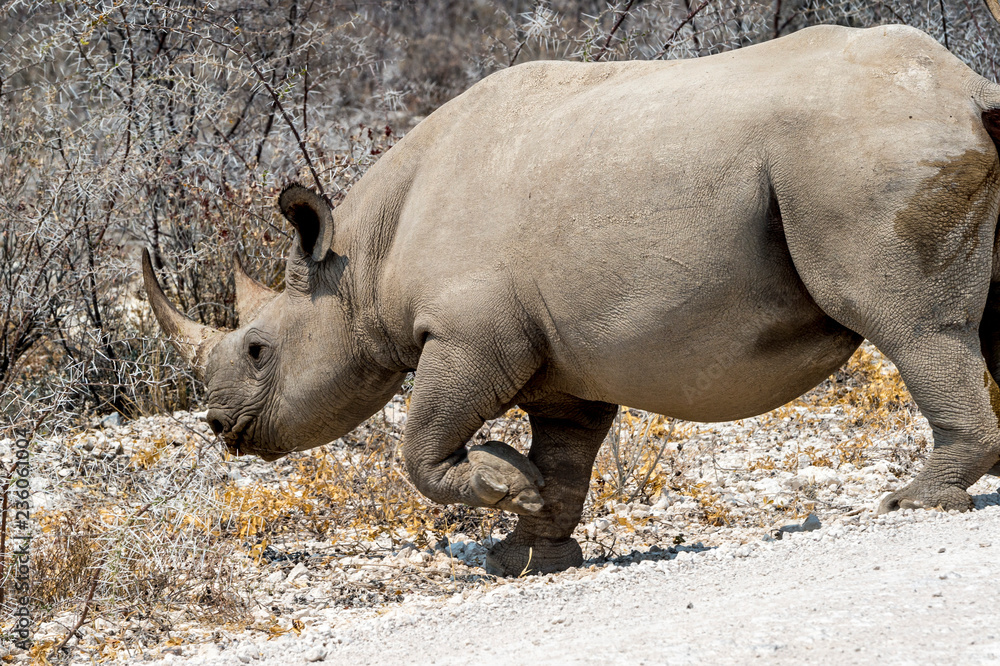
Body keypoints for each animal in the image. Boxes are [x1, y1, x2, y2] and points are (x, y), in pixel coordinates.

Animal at [144, 15, 1000, 576]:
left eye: (259, 350)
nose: (217, 425)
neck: (357, 269)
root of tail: (967, 86)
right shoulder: (560, 366)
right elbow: (562, 458)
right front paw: (525, 550)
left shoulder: (468, 334)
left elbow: (419, 445)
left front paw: (500, 486)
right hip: (897, 140)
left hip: (867, 149)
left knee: (914, 326)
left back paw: (914, 503)